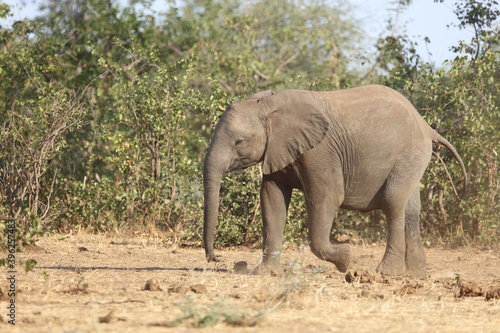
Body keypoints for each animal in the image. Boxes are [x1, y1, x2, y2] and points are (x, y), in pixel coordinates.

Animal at [201, 84, 466, 276]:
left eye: (238, 142)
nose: (216, 258)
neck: (269, 104)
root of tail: (427, 126)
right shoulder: (277, 150)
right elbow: (272, 199)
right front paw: (265, 273)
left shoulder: (319, 151)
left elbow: (326, 197)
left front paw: (346, 259)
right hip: (413, 159)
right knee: (411, 208)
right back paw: (416, 275)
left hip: (408, 155)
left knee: (393, 203)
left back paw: (386, 273)